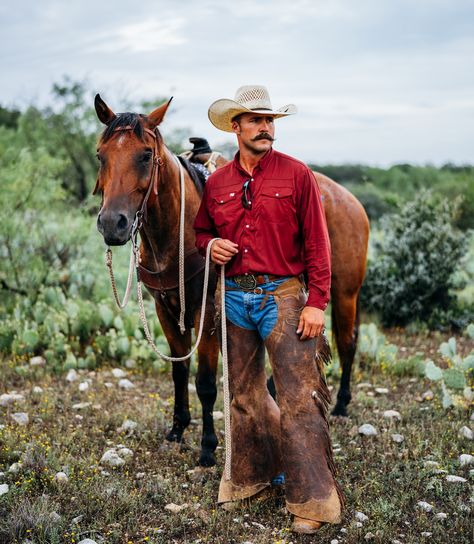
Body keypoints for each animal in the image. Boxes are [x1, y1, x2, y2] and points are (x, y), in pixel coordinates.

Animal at [94, 95, 220, 466]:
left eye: (146, 155)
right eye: (100, 154)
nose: (112, 223)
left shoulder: (206, 310)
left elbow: (206, 381)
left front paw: (208, 446)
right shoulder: (165, 309)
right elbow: (180, 370)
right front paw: (178, 429)